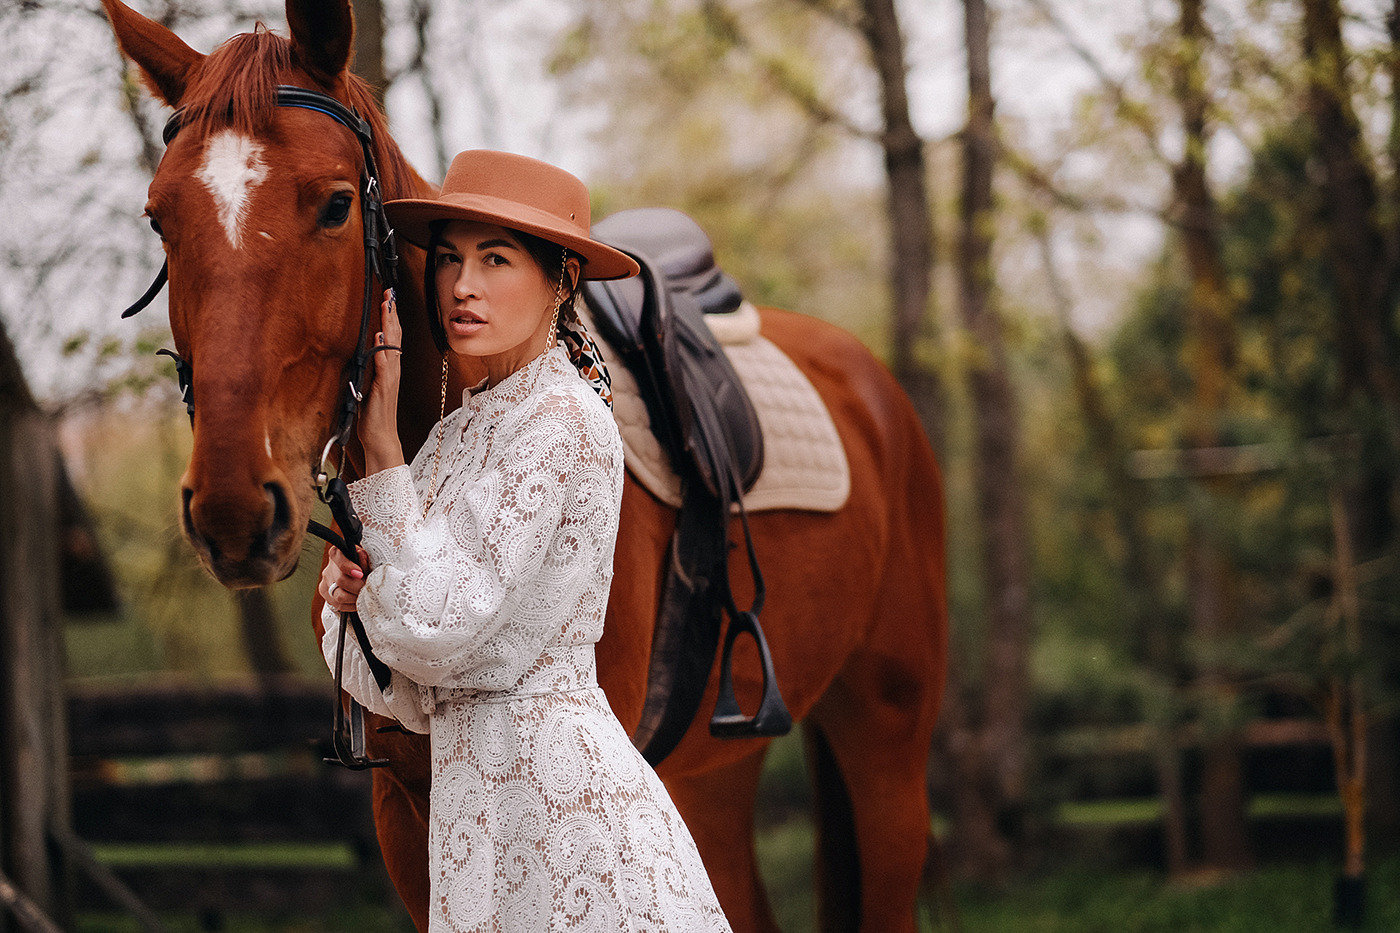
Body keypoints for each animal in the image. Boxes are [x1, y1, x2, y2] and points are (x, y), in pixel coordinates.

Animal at [103, 1, 946, 930]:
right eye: (159, 218)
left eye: (334, 206)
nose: (232, 509)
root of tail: (873, 384)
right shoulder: (404, 813)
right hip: (716, 776)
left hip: (887, 740)